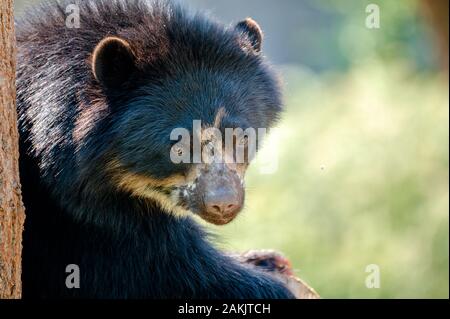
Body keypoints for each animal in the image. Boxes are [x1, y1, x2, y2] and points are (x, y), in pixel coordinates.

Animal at [15, 0, 294, 300]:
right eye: (179, 145)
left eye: (240, 137)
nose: (223, 203)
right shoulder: (73, 224)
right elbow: (167, 268)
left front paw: (266, 258)